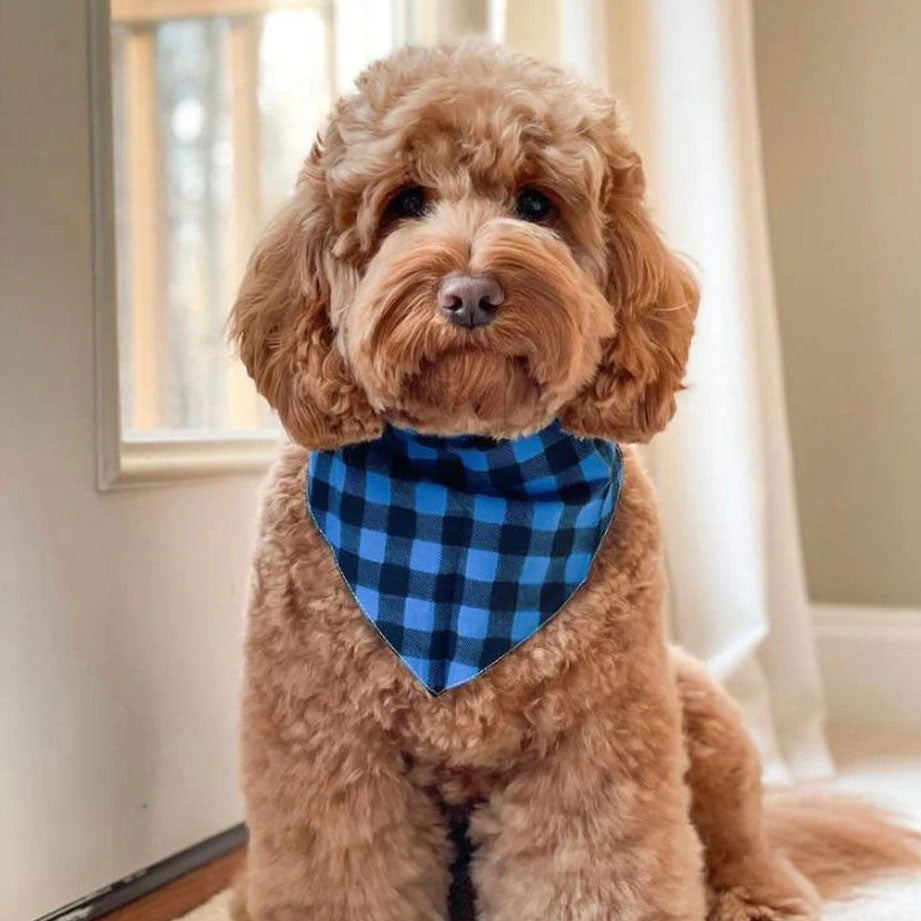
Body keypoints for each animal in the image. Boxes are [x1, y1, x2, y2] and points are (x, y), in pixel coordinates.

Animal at [226, 39, 916, 916]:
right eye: (405, 202)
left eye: (537, 204)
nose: (470, 293)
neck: (468, 480)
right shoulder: (326, 740)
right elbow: (342, 871)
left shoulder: (595, 734)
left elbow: (594, 869)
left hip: (696, 706)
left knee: (744, 841)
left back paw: (753, 894)